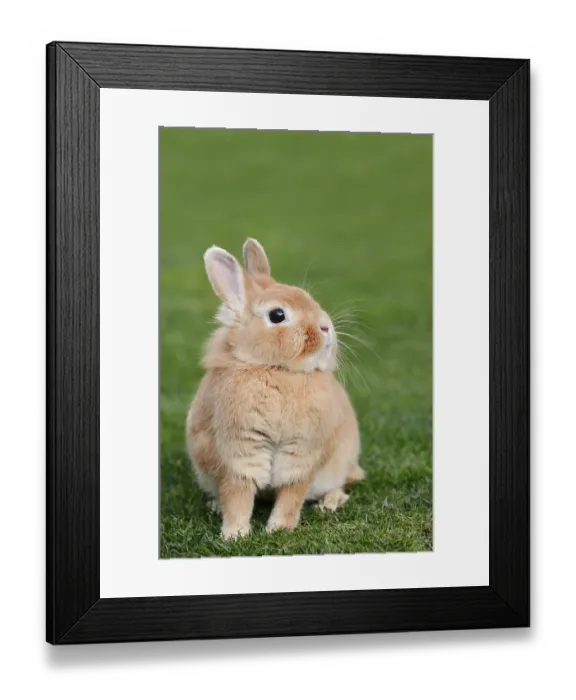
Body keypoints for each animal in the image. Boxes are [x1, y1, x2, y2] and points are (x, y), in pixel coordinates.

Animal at [186, 239, 365, 540]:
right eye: (277, 315)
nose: (326, 327)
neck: (276, 370)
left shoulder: (302, 454)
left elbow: (292, 494)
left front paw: (280, 528)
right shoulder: (240, 451)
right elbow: (238, 495)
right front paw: (234, 534)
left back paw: (330, 502)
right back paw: (215, 505)